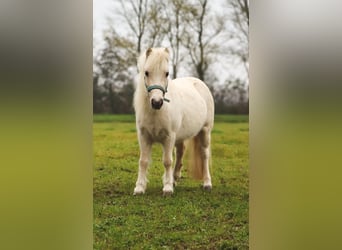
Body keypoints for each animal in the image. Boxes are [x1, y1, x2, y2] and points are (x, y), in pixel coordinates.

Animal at [134, 47, 214, 195]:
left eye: (167, 73)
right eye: (146, 72)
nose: (157, 102)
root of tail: (199, 82)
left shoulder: (169, 137)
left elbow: (167, 161)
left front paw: (167, 188)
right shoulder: (144, 136)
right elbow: (143, 161)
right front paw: (139, 188)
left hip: (205, 131)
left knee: (204, 154)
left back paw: (207, 183)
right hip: (180, 136)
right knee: (180, 152)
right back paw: (175, 178)